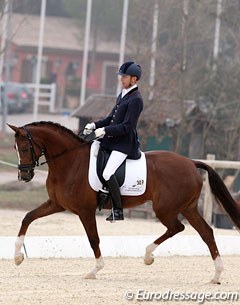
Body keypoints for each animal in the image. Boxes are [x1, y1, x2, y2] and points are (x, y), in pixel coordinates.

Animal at [7, 120, 240, 282]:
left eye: (25, 148)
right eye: (16, 149)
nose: (24, 176)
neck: (69, 161)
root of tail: (191, 163)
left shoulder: (85, 210)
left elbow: (93, 239)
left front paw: (95, 270)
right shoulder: (57, 204)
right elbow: (27, 218)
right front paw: (17, 257)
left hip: (165, 209)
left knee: (177, 228)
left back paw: (148, 255)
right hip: (188, 208)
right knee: (206, 233)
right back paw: (216, 275)